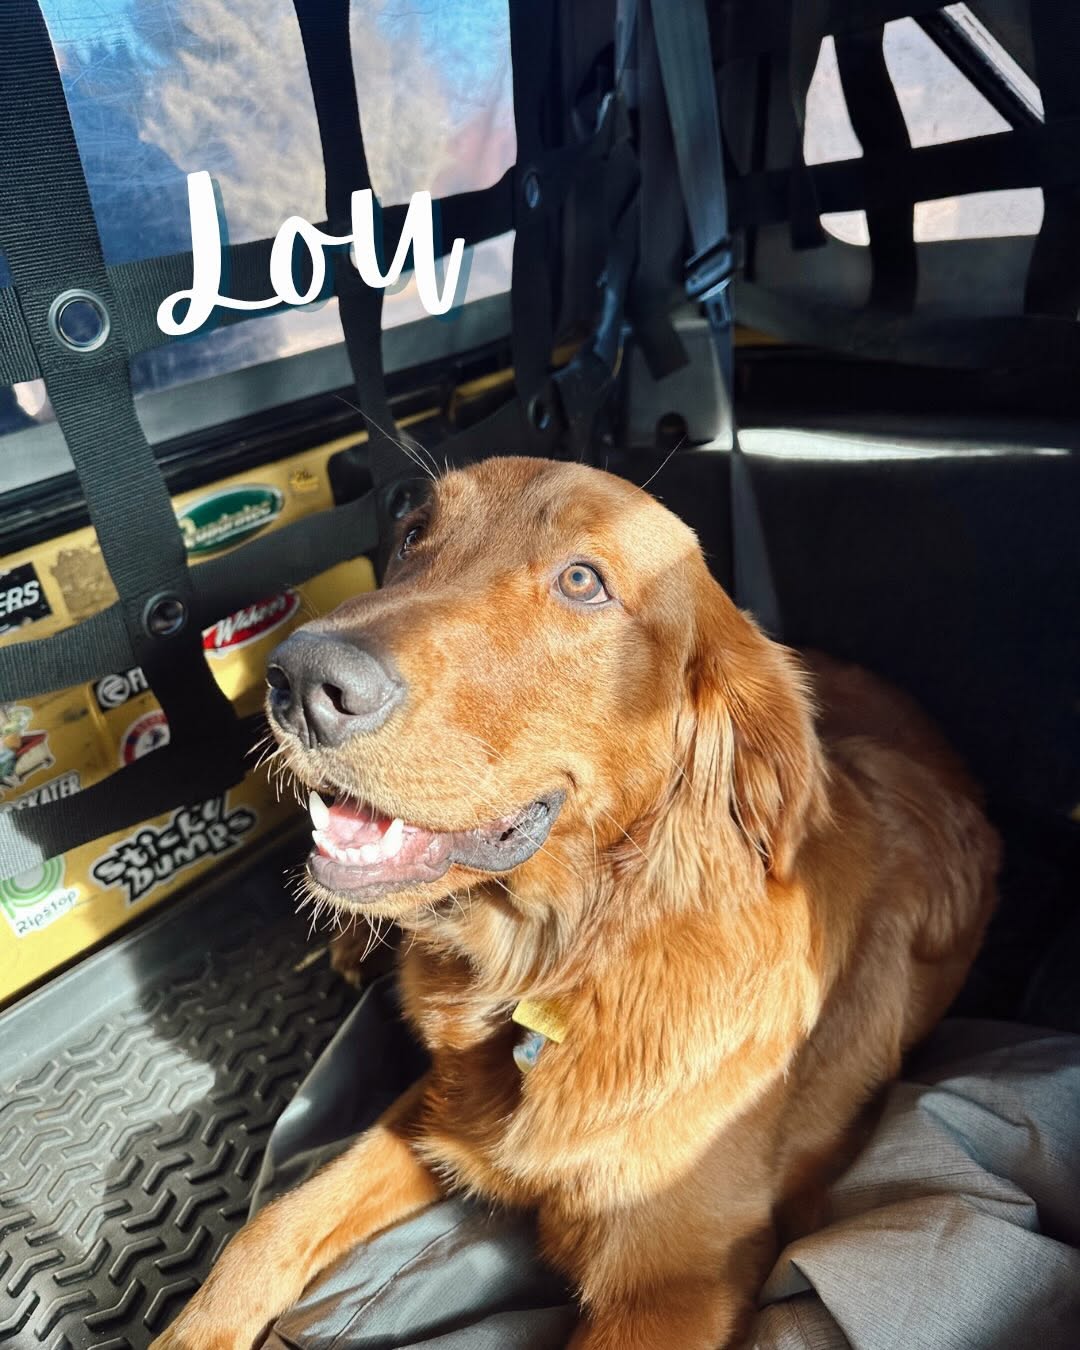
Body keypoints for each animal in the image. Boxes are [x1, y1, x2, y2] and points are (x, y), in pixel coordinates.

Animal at [153, 456, 998, 1349]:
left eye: (583, 580)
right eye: (413, 534)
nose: (301, 678)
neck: (561, 958)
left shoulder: (674, 1285)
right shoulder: (441, 1109)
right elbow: (272, 1223)